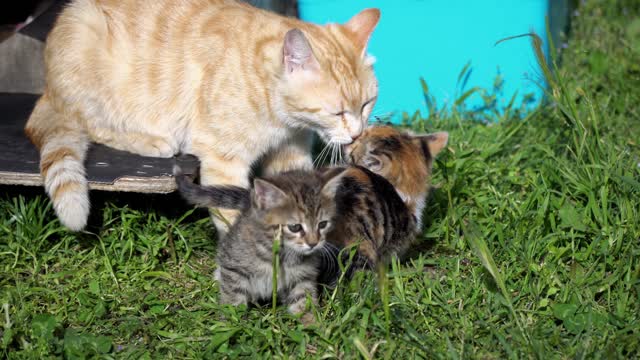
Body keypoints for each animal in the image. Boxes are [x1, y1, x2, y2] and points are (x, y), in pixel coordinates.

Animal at [25, 0, 380, 233]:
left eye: (367, 104)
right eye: (337, 112)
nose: (357, 134)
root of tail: (47, 87)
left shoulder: (290, 156)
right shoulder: (224, 163)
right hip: (87, 46)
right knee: (93, 125)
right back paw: (151, 140)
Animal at [174, 167, 336, 322]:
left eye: (322, 224)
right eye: (295, 227)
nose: (313, 243)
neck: (281, 255)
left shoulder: (303, 277)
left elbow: (304, 301)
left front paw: (312, 326)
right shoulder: (233, 267)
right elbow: (233, 297)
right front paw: (231, 323)